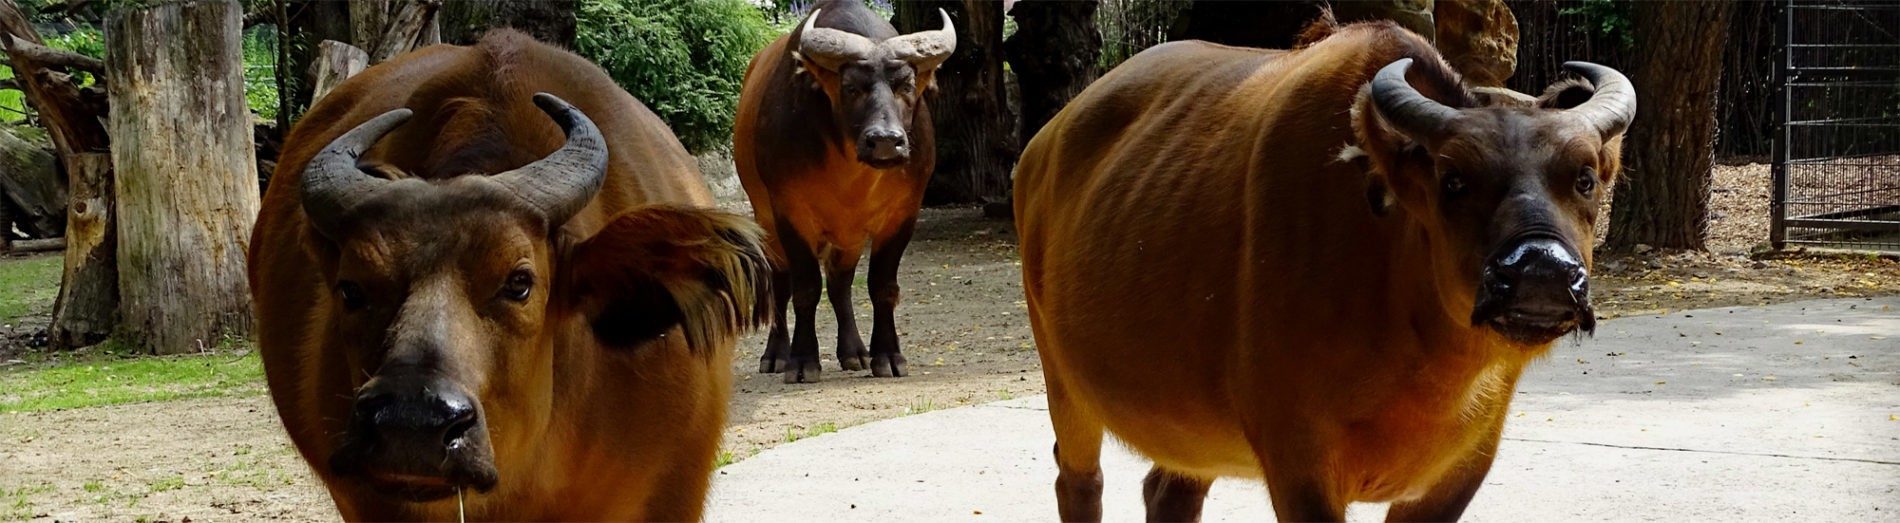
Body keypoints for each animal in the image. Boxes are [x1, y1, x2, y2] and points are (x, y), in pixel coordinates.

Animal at [733, 0, 957, 386]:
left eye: (906, 86)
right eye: (851, 87)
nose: (886, 141)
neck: (852, 173)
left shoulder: (903, 214)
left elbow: (882, 286)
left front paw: (888, 355)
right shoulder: (789, 213)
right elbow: (805, 288)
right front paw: (802, 361)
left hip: (849, 235)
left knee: (840, 283)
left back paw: (854, 351)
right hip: (765, 217)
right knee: (781, 281)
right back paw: (776, 354)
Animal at [1010, 18, 1634, 521]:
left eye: (1585, 178)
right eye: (1453, 180)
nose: (1540, 272)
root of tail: (1042, 148)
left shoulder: (1462, 470)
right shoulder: (1298, 463)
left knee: (1169, 491)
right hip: (1063, 381)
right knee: (1079, 481)